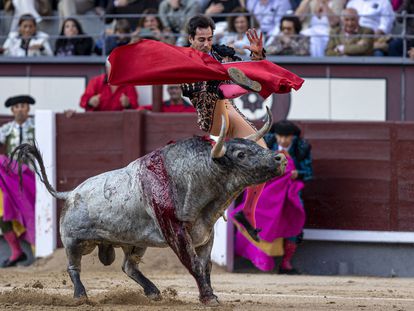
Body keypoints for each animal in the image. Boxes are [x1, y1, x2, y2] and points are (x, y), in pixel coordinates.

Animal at [12, 111, 284, 306]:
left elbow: (205, 266)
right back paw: (81, 296)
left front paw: (209, 295)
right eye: (240, 154)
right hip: (75, 241)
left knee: (129, 267)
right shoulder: (176, 233)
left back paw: (153, 291)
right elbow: (194, 264)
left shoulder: (207, 233)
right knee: (73, 267)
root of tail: (68, 193)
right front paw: (209, 299)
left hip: (135, 241)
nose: (279, 158)